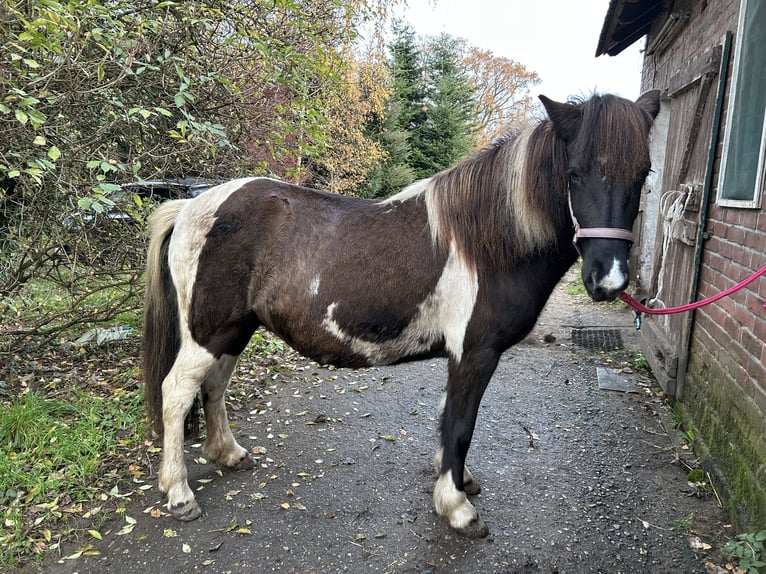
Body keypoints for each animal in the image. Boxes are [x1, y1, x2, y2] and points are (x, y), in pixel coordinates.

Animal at [143, 91, 660, 538]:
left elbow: (448, 420)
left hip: (233, 328)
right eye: (574, 173)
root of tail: (189, 204)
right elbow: (461, 425)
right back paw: (179, 494)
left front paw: (457, 481)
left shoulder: (460, 356)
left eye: (644, 173)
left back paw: (228, 453)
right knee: (177, 393)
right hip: (207, 331)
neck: (488, 244)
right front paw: (456, 507)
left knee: (214, 385)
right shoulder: (475, 353)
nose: (609, 279)